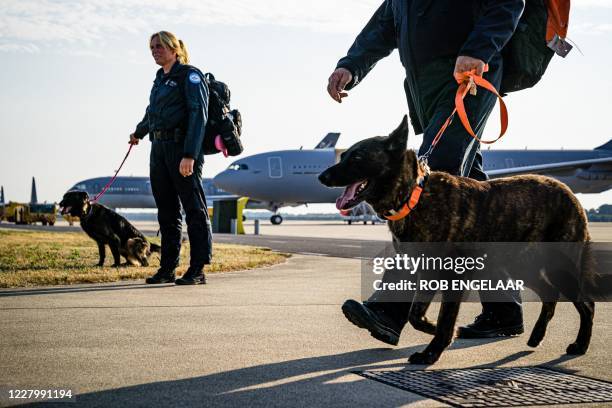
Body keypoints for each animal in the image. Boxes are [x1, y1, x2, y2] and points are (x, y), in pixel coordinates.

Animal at [318, 116, 596, 364]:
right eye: (344, 155)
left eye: (357, 157)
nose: (321, 177)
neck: (414, 196)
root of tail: (569, 192)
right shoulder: (425, 271)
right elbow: (415, 315)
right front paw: (434, 329)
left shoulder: (454, 276)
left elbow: (445, 319)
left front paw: (432, 353)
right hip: (525, 265)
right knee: (550, 296)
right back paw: (537, 335)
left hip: (558, 266)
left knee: (588, 304)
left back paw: (581, 345)